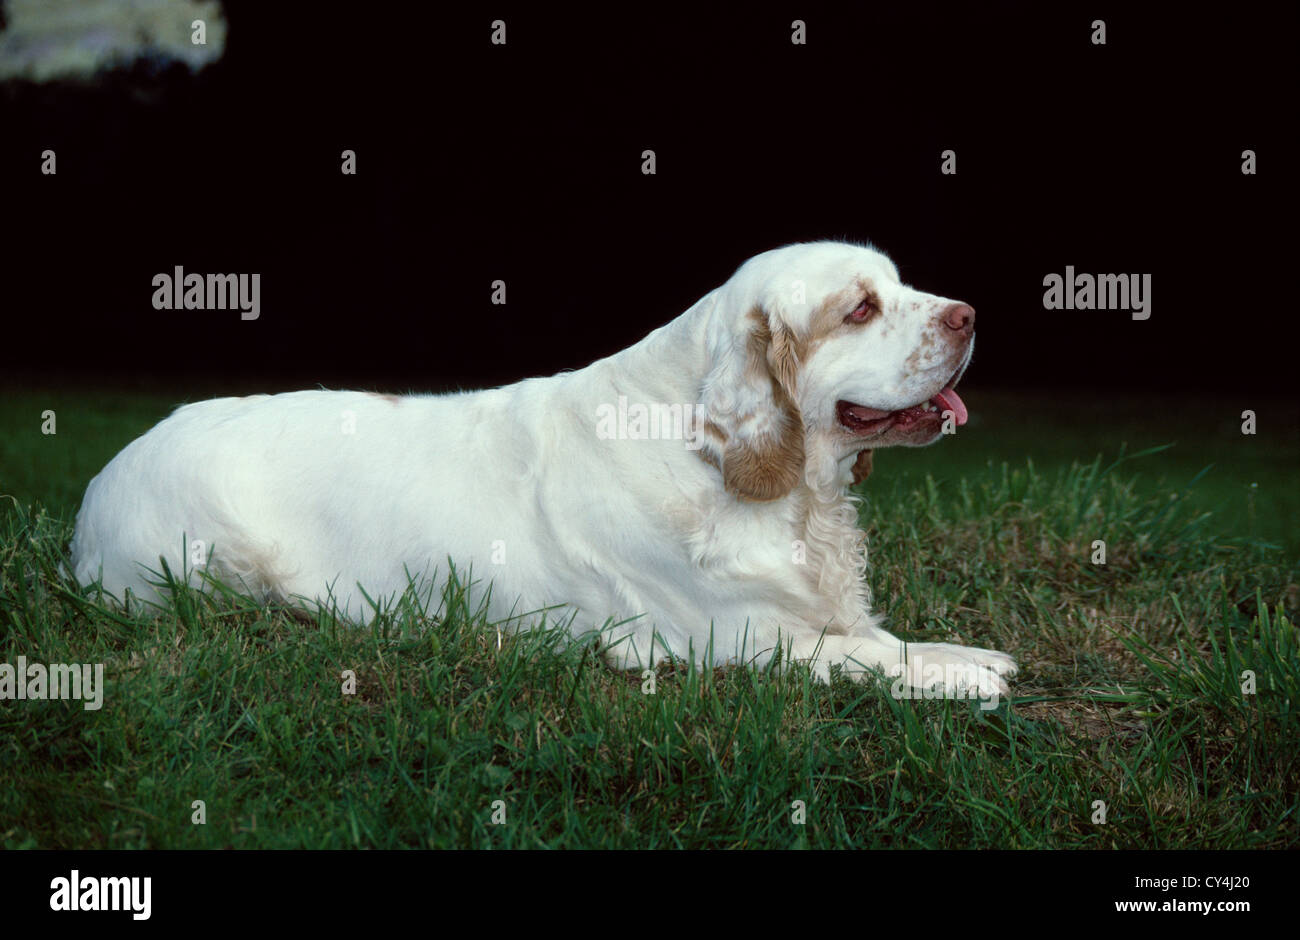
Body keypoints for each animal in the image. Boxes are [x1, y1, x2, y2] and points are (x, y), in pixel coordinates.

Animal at [73, 240, 1013, 696]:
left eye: (899, 288)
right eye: (860, 308)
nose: (969, 314)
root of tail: (96, 489)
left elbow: (881, 637)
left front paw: (968, 654)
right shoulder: (726, 637)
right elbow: (859, 658)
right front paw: (956, 679)